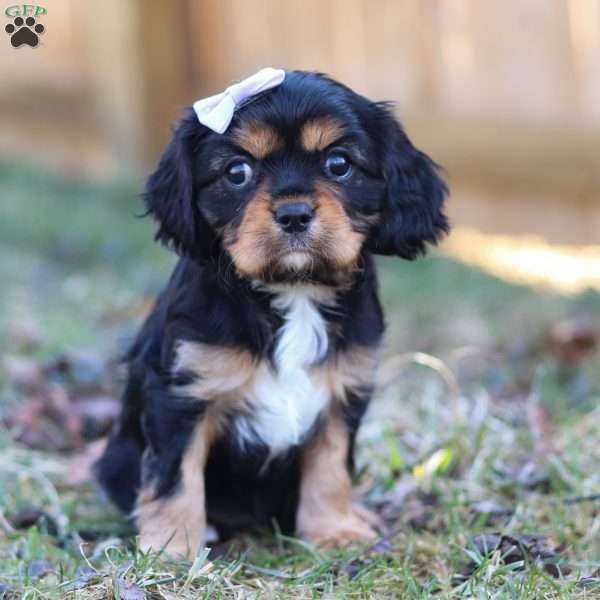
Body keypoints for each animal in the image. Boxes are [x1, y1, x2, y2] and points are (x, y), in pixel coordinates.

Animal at [96, 70, 448, 556]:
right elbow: (175, 476)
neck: (293, 290)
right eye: (237, 172)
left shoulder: (344, 391)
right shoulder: (180, 394)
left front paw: (334, 531)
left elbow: (330, 468)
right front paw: (172, 547)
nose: (295, 213)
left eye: (339, 164)